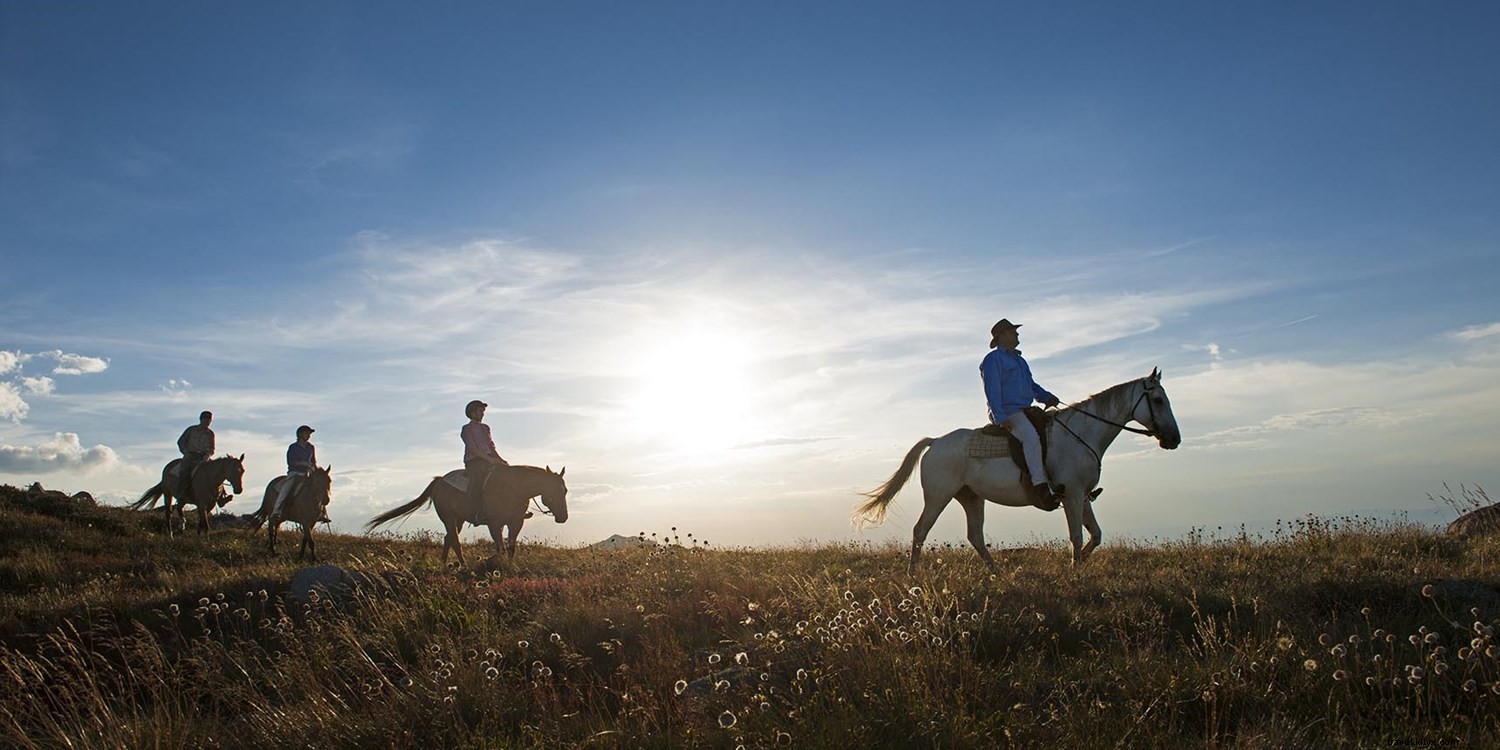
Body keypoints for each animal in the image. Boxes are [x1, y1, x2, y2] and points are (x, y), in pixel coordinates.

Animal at [367, 465, 567, 564]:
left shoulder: (516, 522)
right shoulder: (494, 524)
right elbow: (500, 547)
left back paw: (444, 564)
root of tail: (439, 481)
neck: (514, 488)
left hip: (459, 519)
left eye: (565, 490)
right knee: (454, 541)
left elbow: (511, 548)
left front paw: (511, 567)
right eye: (556, 491)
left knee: (448, 538)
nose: (563, 517)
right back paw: (462, 565)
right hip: (448, 517)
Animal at [858, 367, 1182, 567]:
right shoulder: (1073, 496)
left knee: (975, 537)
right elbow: (1077, 536)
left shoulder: (1083, 497)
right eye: (1157, 399)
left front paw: (1080, 562)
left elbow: (1095, 535)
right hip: (938, 497)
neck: (1082, 433)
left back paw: (997, 574)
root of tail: (936, 441)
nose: (1174, 439)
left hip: (971, 498)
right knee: (920, 531)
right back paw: (914, 575)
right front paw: (1075, 571)